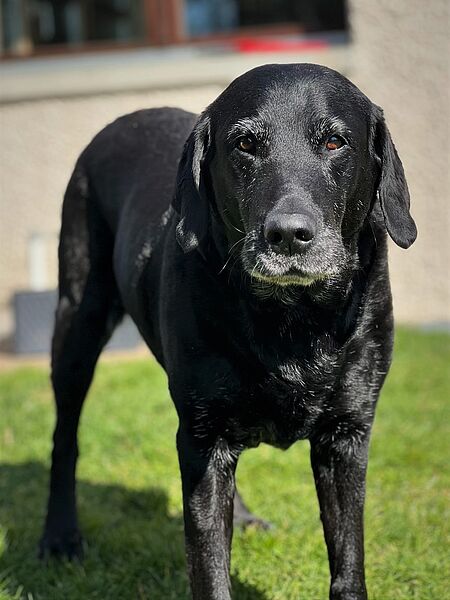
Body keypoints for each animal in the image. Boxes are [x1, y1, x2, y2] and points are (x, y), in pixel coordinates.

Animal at [40, 63, 416, 596]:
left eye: (334, 142)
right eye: (245, 144)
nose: (288, 235)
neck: (292, 320)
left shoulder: (345, 436)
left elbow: (348, 562)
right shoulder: (203, 439)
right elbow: (210, 568)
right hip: (77, 323)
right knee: (64, 438)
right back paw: (59, 537)